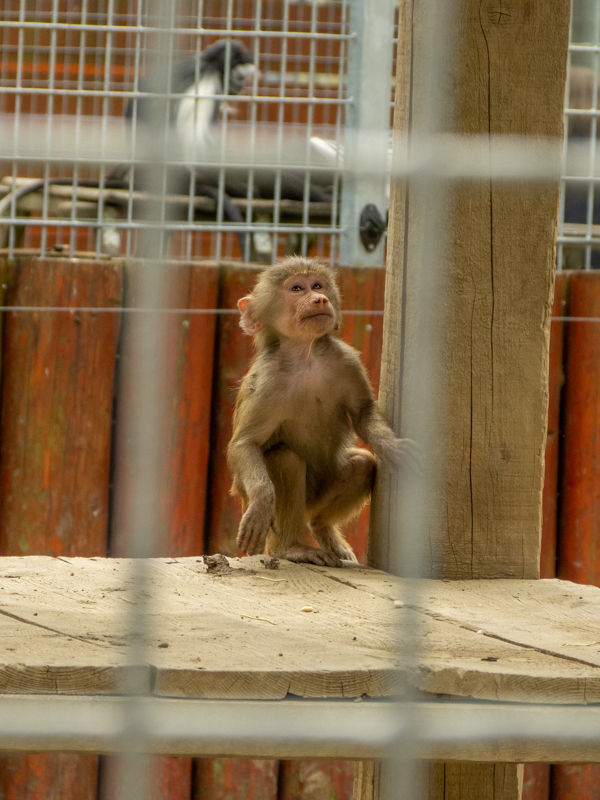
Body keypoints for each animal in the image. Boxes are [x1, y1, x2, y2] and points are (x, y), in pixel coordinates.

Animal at [227, 256, 423, 567]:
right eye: (297, 288)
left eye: (317, 286)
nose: (319, 299)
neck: (306, 355)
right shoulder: (266, 382)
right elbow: (246, 443)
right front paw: (262, 501)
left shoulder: (345, 360)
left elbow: (363, 413)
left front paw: (393, 447)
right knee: (286, 460)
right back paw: (291, 548)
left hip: (317, 500)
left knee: (361, 464)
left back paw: (322, 529)